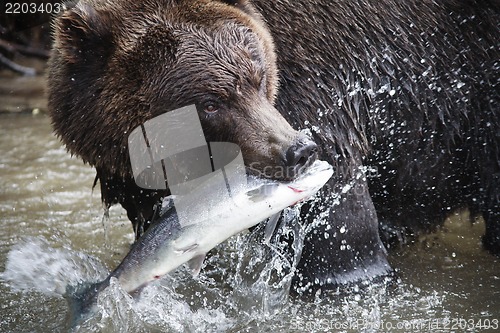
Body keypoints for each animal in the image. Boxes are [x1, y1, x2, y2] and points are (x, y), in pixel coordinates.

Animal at [46, 0, 496, 296]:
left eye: (258, 77)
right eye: (210, 102)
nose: (297, 151)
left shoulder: (322, 92)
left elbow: (341, 234)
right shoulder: (134, 181)